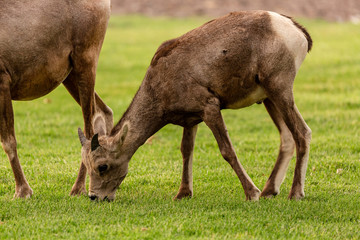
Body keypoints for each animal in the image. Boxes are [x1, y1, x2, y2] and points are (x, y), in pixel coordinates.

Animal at [0, 0, 112, 199]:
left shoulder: (3, 80)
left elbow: (8, 142)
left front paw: (23, 192)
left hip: (86, 62)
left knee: (89, 130)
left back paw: (78, 189)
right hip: (70, 76)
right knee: (104, 111)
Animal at [78, 11, 312, 202]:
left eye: (102, 166)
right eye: (87, 165)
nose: (95, 197)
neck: (160, 85)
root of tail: (296, 31)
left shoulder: (210, 108)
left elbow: (227, 150)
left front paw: (251, 194)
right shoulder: (191, 119)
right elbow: (186, 150)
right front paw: (183, 194)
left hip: (280, 89)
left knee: (302, 133)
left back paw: (294, 194)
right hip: (269, 98)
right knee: (287, 137)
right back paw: (269, 191)